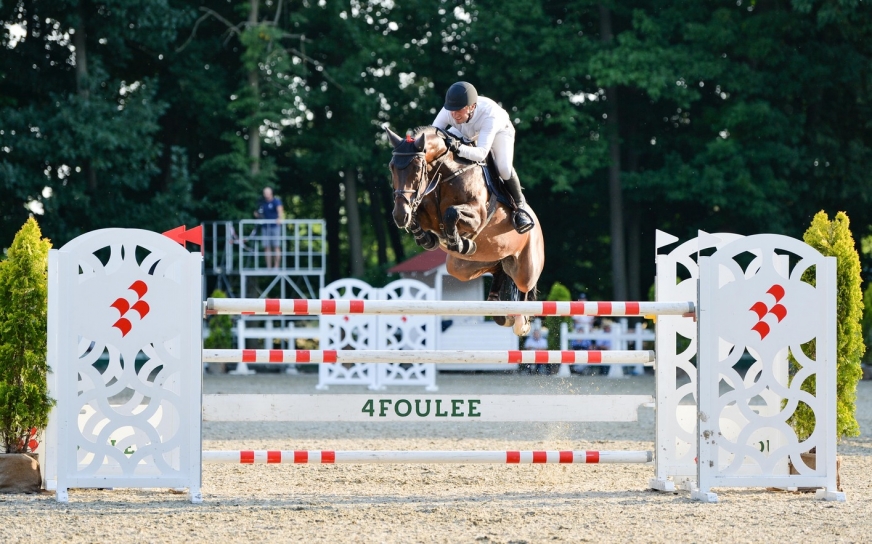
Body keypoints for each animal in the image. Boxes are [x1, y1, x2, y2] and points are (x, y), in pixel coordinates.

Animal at [384, 126, 540, 336]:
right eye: (392, 167)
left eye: (417, 168)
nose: (400, 214)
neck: (445, 174)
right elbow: (417, 219)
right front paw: (428, 239)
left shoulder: (477, 215)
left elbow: (451, 213)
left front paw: (457, 242)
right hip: (463, 267)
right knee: (498, 269)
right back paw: (499, 311)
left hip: (526, 269)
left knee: (525, 286)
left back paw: (521, 321)